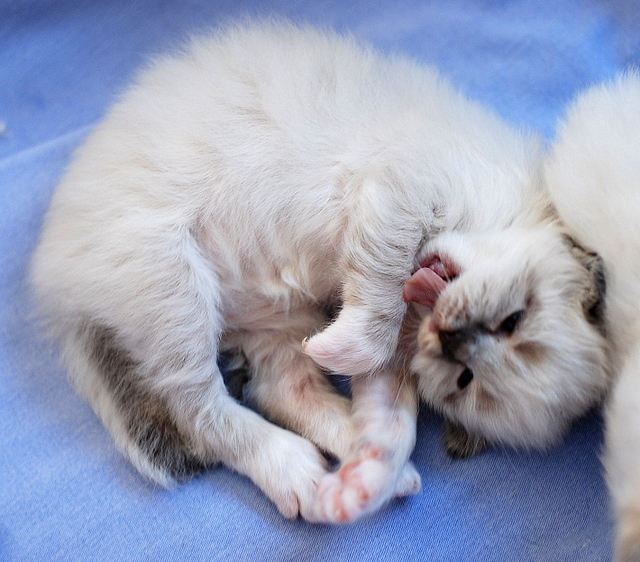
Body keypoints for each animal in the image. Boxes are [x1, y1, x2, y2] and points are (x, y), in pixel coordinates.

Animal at [30, 19, 604, 524]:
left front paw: (370, 469)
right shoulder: (406, 188)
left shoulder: (400, 350)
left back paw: (339, 468)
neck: (512, 207)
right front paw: (345, 348)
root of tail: (54, 283)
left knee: (276, 392)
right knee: (198, 411)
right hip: (167, 286)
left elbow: (390, 410)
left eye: (466, 383)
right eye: (514, 318)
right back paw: (294, 466)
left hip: (267, 320)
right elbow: (382, 290)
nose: (452, 337)